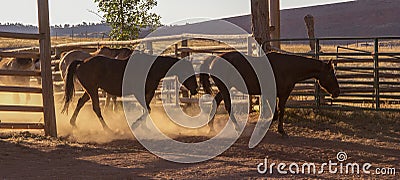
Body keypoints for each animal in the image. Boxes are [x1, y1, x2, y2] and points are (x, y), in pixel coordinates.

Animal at [61, 53, 198, 131]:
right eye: (188, 70)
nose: (196, 89)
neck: (152, 69)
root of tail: (82, 63)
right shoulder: (138, 93)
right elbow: (148, 109)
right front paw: (135, 125)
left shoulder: (148, 93)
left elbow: (146, 109)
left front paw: (144, 127)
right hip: (92, 90)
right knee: (96, 108)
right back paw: (107, 129)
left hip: (90, 90)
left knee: (80, 103)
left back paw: (73, 123)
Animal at [202, 50, 340, 136]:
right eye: (331, 75)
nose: (337, 92)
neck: (287, 69)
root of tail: (214, 59)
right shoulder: (277, 95)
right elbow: (278, 112)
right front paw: (276, 130)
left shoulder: (277, 95)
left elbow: (277, 112)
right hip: (225, 87)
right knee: (227, 106)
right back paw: (236, 128)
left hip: (224, 88)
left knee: (216, 101)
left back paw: (211, 127)